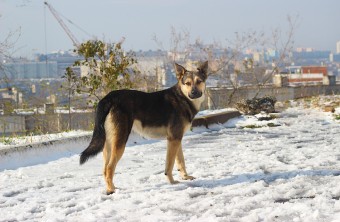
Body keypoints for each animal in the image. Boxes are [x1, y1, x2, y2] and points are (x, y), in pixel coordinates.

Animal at [80, 60, 207, 194]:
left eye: (199, 81)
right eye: (187, 83)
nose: (194, 93)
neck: (182, 97)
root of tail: (109, 97)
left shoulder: (177, 139)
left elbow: (181, 161)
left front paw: (185, 177)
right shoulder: (173, 140)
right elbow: (170, 164)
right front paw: (172, 182)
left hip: (109, 143)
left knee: (105, 169)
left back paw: (111, 188)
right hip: (120, 143)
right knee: (109, 168)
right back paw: (111, 190)